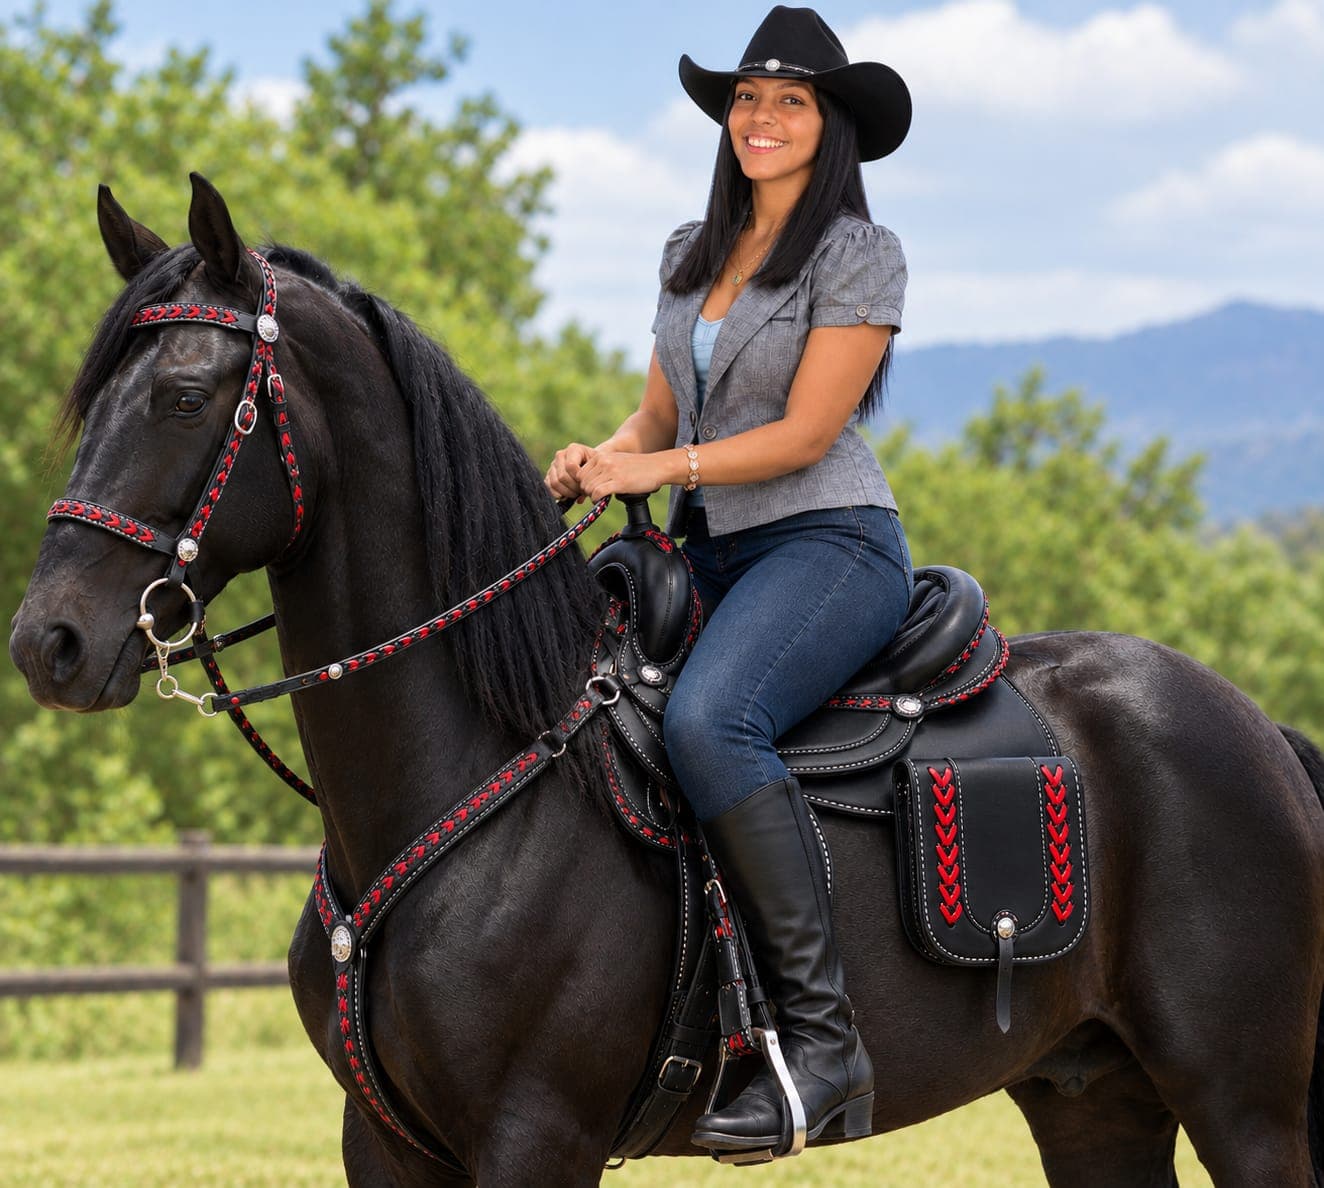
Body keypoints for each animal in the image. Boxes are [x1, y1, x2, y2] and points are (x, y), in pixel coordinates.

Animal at [10, 174, 1324, 1187]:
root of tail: (1256, 729)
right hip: (1090, 1094)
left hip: (1242, 1101)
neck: (485, 771)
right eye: (91, 397)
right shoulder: (383, 1144)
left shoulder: (535, 1137)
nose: (48, 643)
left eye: (183, 396)